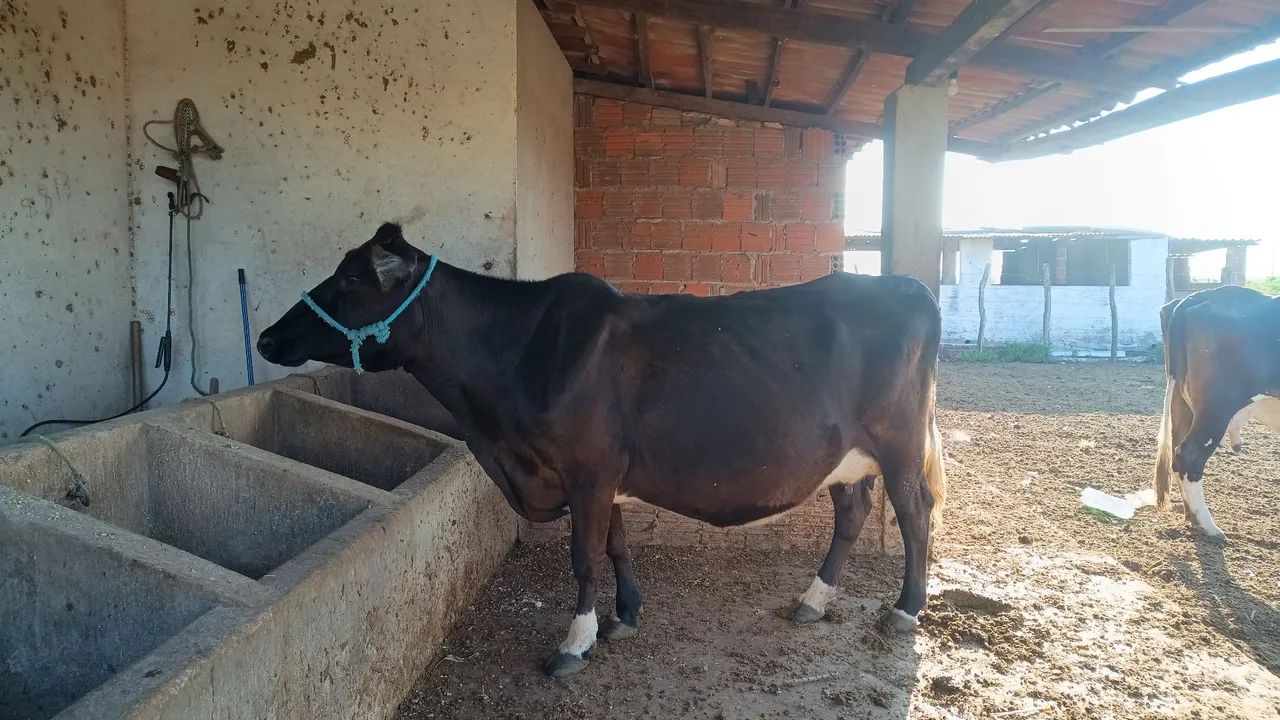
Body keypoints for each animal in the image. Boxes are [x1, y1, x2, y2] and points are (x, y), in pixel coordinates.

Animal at [256, 223, 947, 676]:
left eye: (351, 278)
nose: (265, 337)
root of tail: (908, 286)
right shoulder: (600, 471)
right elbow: (615, 544)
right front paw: (623, 618)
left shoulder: (587, 468)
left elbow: (584, 557)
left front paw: (573, 644)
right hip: (848, 457)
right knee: (853, 514)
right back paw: (812, 600)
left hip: (899, 443)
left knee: (915, 517)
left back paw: (903, 611)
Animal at [1154, 284, 1280, 538]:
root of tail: (1197, 296)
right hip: (1216, 408)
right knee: (1189, 456)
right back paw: (1209, 526)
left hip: (1182, 403)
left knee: (1176, 448)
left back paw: (1192, 517)